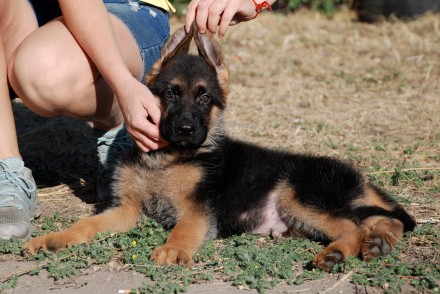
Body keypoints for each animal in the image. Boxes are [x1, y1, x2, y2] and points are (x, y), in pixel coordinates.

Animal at [24, 25, 416, 272]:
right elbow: (86, 225)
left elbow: (183, 230)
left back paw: (338, 253)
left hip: (299, 195)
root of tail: (355, 176)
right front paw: (54, 239)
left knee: (353, 226)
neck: (167, 159)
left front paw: (172, 250)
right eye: (170, 94)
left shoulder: (197, 210)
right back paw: (378, 243)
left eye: (204, 98)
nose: (186, 129)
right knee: (379, 219)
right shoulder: (126, 209)